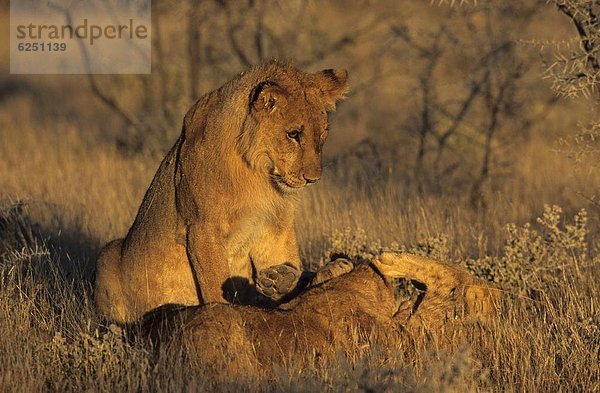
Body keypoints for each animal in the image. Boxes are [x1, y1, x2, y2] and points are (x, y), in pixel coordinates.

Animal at [93, 61, 346, 322]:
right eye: (293, 134)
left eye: (323, 135)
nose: (313, 179)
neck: (259, 173)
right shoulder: (203, 227)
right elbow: (215, 283)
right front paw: (223, 314)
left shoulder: (275, 224)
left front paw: (281, 281)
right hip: (108, 254)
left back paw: (334, 268)